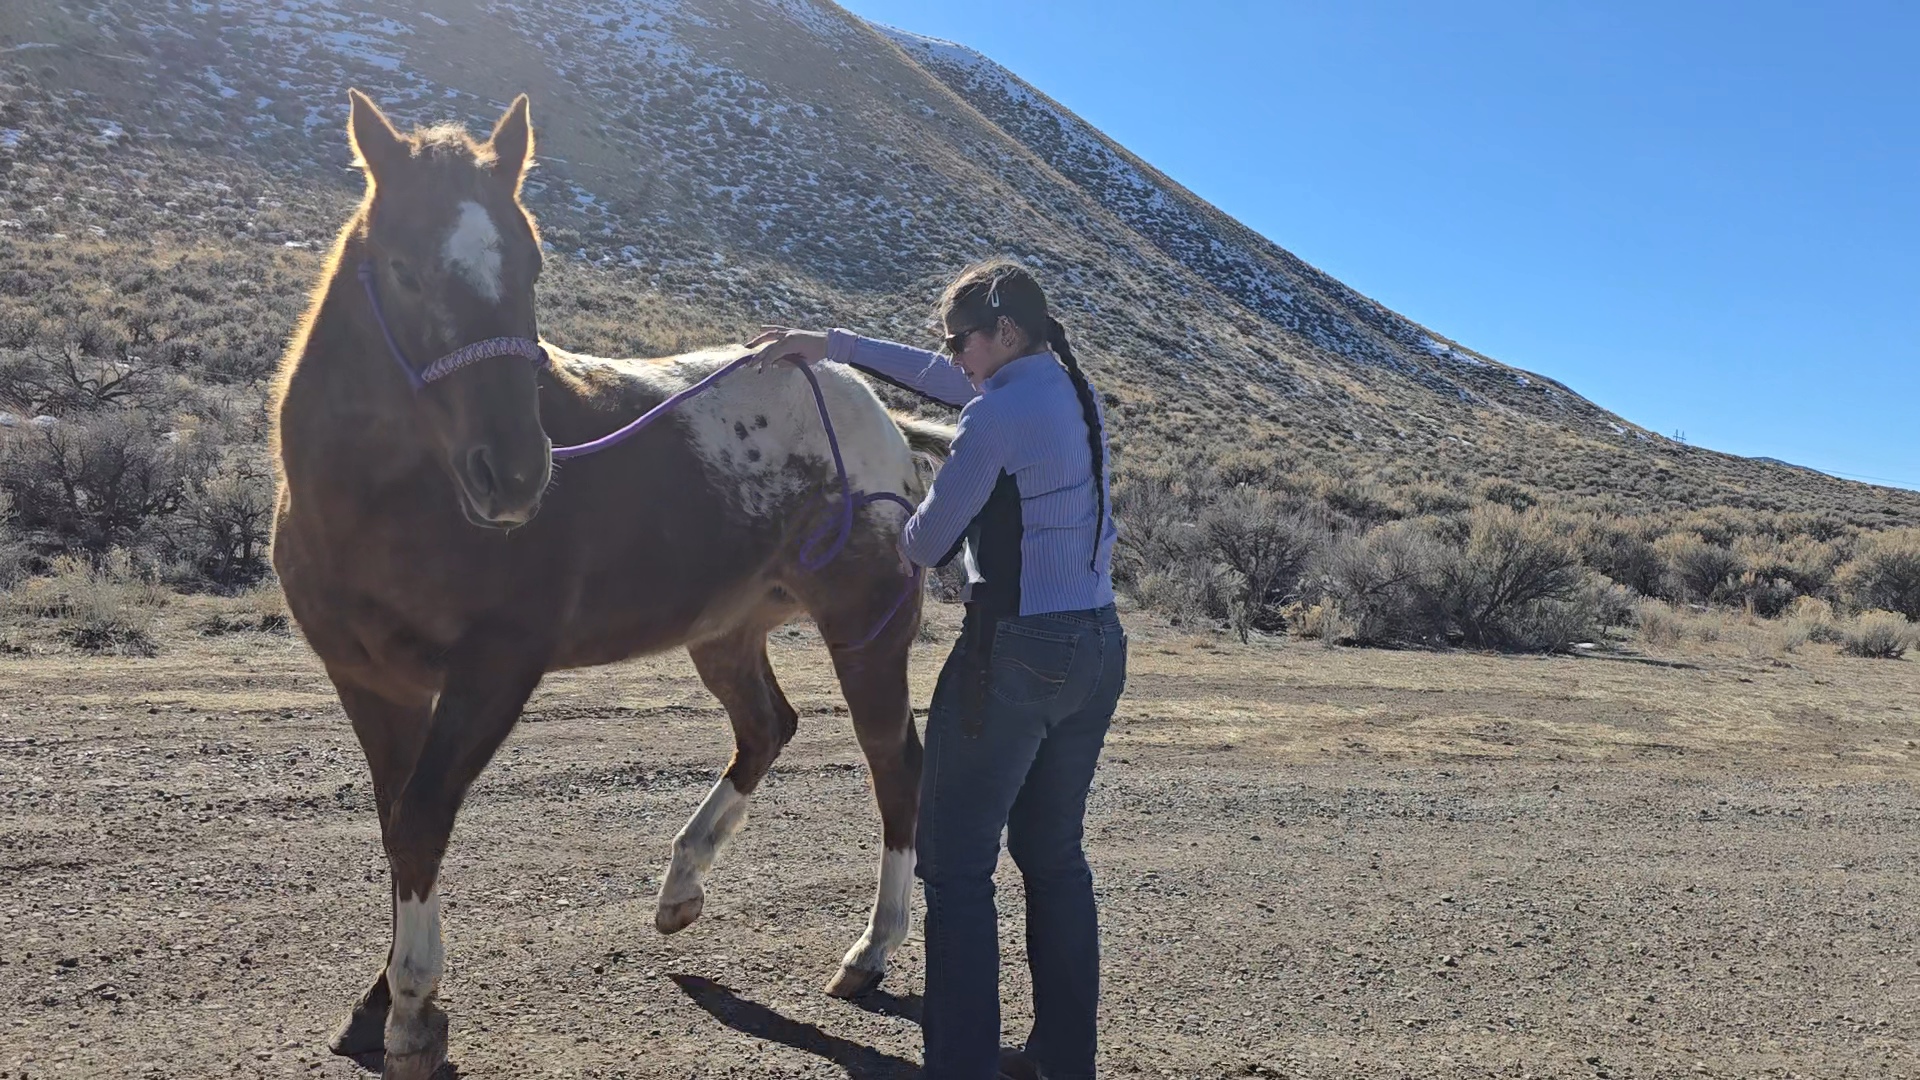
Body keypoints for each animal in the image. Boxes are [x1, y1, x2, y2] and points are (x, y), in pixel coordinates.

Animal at [269, 89, 951, 1079]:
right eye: (402, 268)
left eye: (531, 261)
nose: (516, 474)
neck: (384, 499)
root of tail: (869, 405)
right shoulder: (370, 680)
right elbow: (397, 821)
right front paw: (378, 999)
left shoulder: (494, 669)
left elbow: (425, 813)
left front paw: (413, 1009)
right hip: (725, 632)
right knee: (767, 727)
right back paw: (680, 887)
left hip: (865, 628)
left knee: (893, 761)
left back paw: (871, 950)